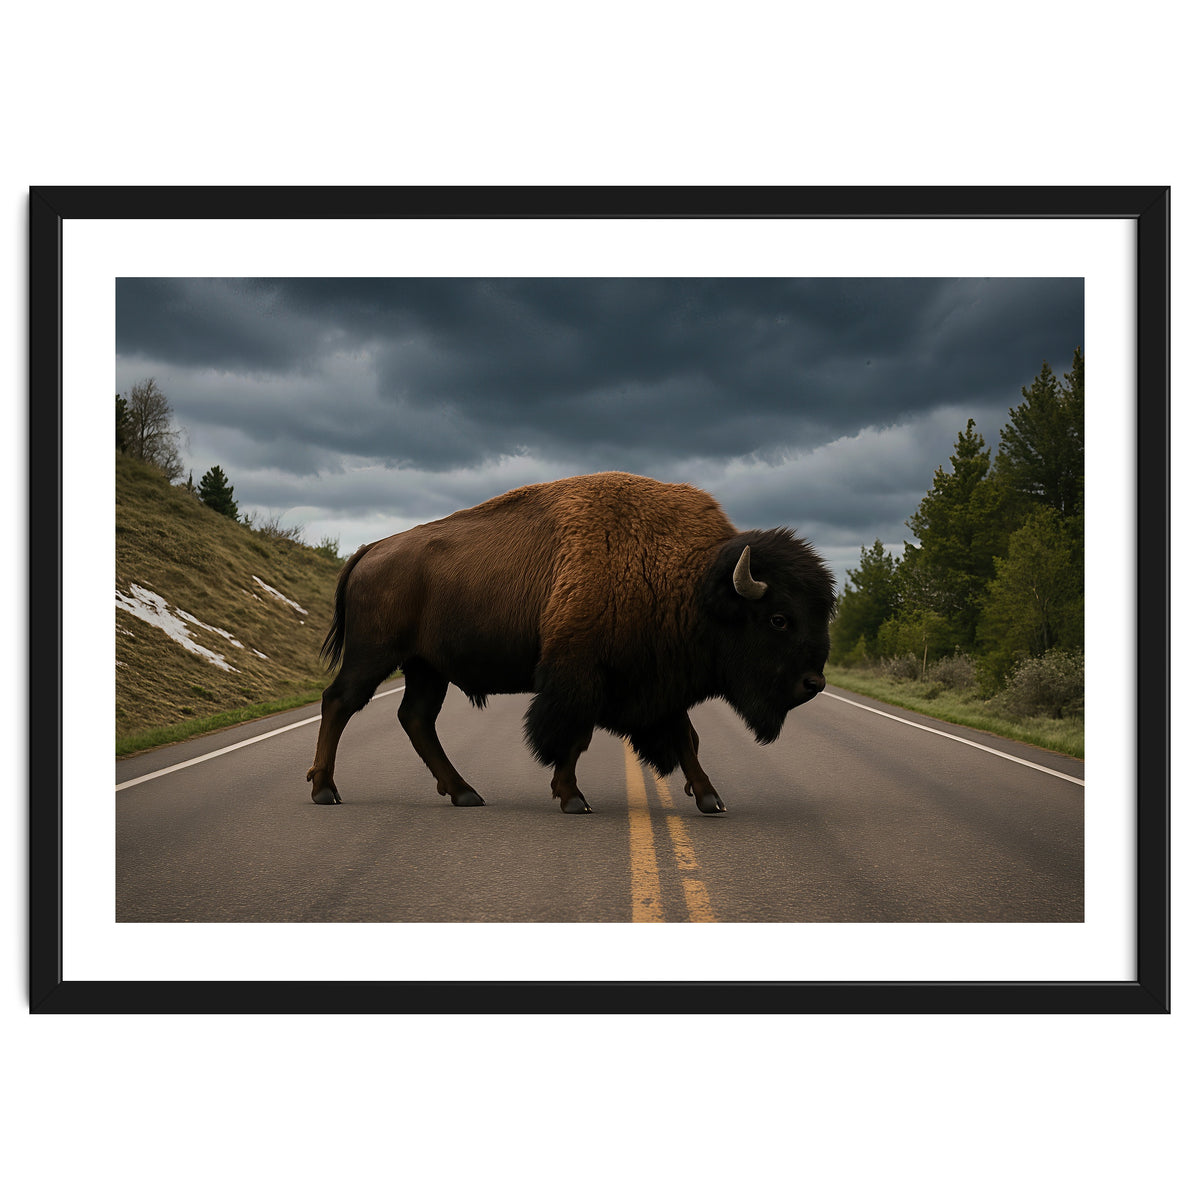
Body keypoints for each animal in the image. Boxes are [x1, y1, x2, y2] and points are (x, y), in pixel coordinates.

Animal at [307, 472, 836, 814]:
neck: (691, 581)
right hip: (375, 655)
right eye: (779, 619)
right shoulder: (581, 676)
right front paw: (572, 797)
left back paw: (464, 793)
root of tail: (371, 549)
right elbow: (573, 736)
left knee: (416, 718)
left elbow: (685, 737)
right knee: (339, 702)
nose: (814, 683)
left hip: (425, 668)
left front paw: (710, 798)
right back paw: (325, 791)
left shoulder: (656, 684)